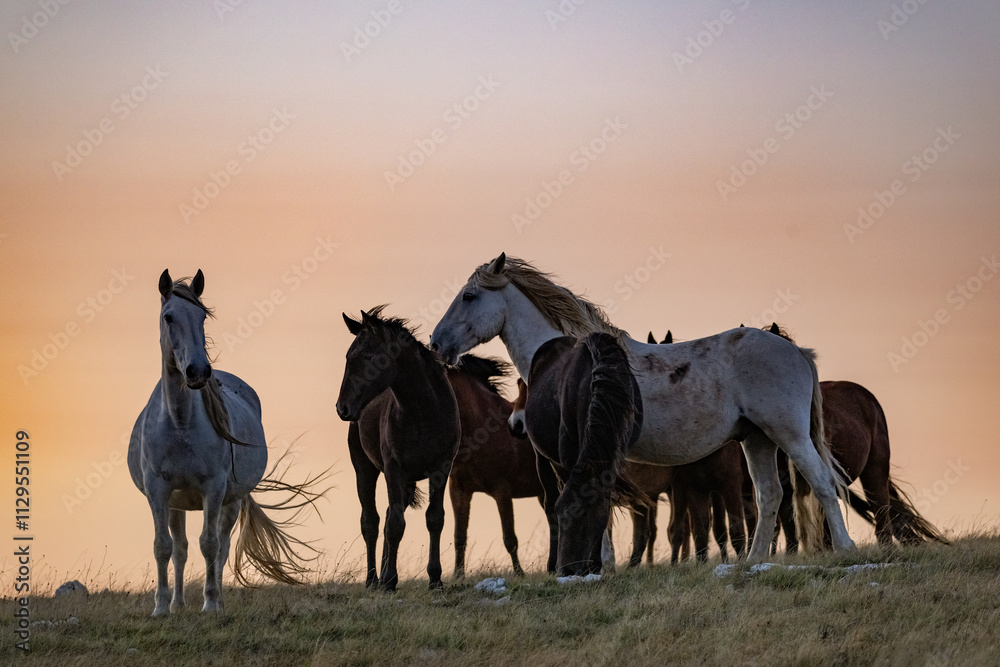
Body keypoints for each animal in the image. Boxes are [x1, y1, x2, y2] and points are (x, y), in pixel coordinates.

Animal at [128, 270, 316, 617]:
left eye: (202, 316)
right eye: (168, 316)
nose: (198, 371)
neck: (180, 422)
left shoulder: (214, 488)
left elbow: (210, 544)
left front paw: (211, 604)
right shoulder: (158, 489)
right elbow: (163, 546)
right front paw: (161, 608)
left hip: (232, 501)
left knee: (222, 545)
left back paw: (216, 600)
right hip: (176, 502)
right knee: (180, 549)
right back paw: (177, 604)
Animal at [336, 306, 461, 591]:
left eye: (368, 356)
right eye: (348, 356)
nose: (342, 407)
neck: (423, 413)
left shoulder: (441, 468)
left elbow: (434, 519)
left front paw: (435, 579)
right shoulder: (394, 469)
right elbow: (394, 525)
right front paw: (391, 581)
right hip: (365, 469)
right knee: (371, 521)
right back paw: (374, 579)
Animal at [445, 355, 547, 577]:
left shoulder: (502, 491)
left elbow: (510, 538)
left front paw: (519, 574)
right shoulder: (459, 490)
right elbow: (459, 537)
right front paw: (458, 575)